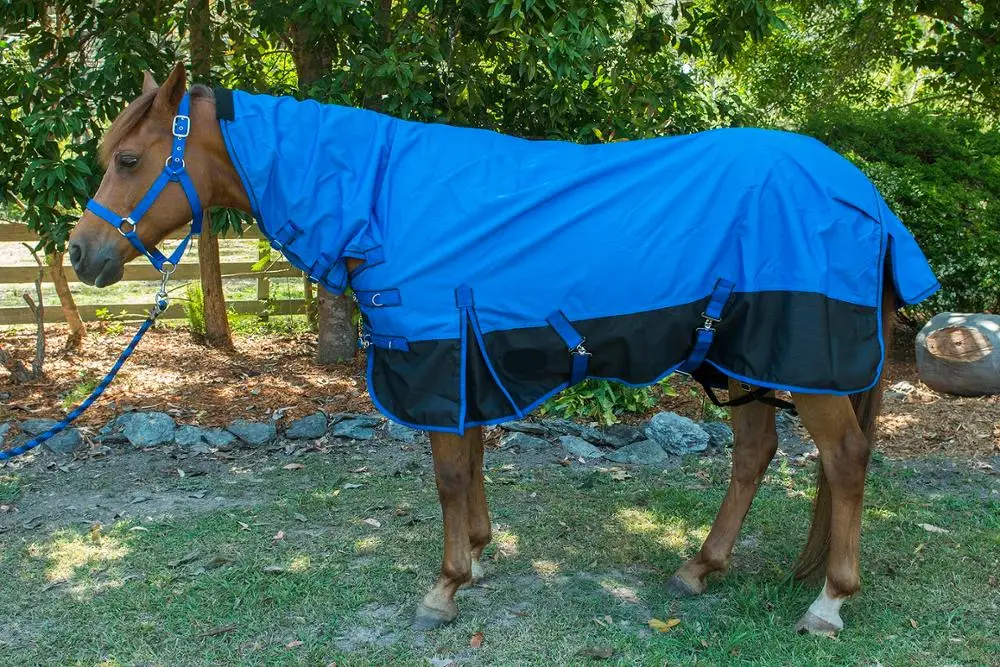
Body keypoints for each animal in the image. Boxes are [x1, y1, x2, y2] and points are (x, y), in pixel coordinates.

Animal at [69, 62, 939, 636]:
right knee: (756, 449)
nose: (82, 255)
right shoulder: (468, 356)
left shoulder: (436, 357)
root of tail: (862, 193)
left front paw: (447, 584)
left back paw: (828, 600)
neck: (378, 195)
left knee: (846, 460)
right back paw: (700, 566)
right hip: (735, 357)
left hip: (806, 367)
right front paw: (480, 556)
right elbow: (476, 460)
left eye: (129, 160)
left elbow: (451, 474)